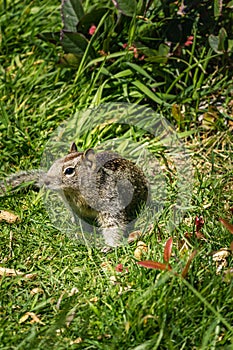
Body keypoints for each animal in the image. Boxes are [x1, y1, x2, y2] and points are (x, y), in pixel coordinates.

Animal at [0, 142, 148, 246]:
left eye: (69, 171)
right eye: (54, 163)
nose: (46, 181)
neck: (76, 194)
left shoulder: (110, 203)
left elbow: (113, 224)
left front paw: (110, 246)